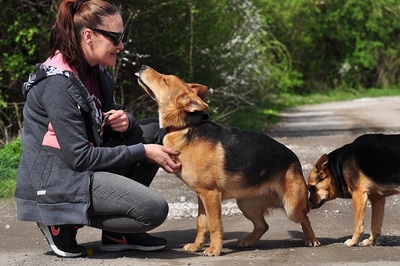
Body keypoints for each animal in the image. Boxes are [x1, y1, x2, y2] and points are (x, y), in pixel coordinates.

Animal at [136, 65, 320, 256]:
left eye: (165, 80)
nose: (142, 66)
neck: (186, 126)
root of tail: (294, 159)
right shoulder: (201, 196)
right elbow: (201, 223)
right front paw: (196, 245)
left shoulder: (210, 195)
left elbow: (214, 225)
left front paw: (214, 249)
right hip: (246, 204)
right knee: (262, 225)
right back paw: (247, 241)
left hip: (292, 207)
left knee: (305, 219)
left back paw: (311, 239)